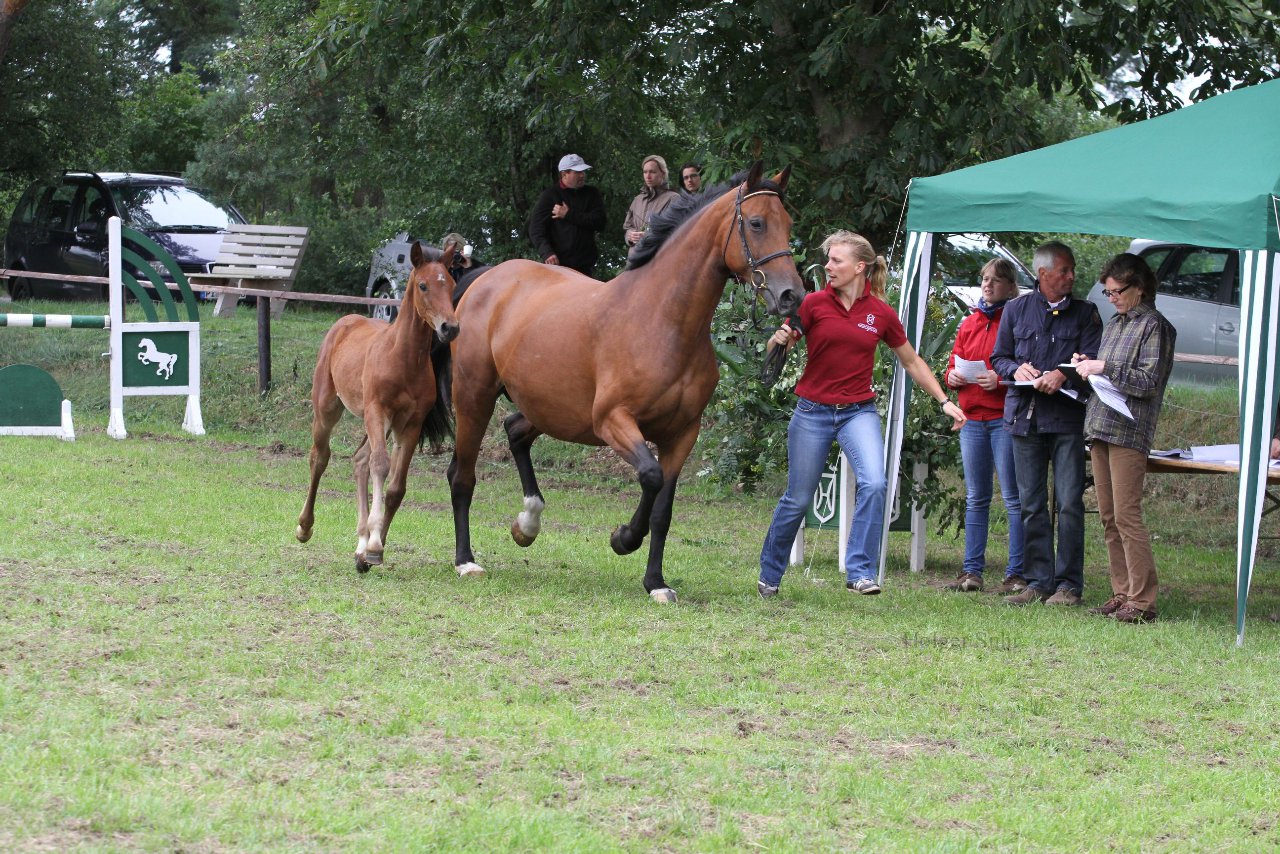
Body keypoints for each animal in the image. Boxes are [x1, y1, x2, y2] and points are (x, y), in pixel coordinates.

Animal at [294, 240, 460, 573]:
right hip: (328, 408)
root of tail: (345, 322)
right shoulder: (376, 410)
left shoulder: (411, 422)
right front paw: (372, 544)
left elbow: (396, 487)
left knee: (359, 460)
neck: (403, 358)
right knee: (321, 457)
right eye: (423, 285)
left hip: (381, 425)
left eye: (450, 284)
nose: (449, 328)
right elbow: (380, 465)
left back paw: (360, 542)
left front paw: (371, 548)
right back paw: (305, 527)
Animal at [445, 160, 793, 601]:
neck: (662, 320)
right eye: (758, 222)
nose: (791, 295)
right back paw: (466, 560)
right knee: (462, 475)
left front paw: (656, 582)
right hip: (475, 397)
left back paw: (527, 523)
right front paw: (623, 538)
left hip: (550, 408)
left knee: (514, 431)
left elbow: (663, 508)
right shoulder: (613, 421)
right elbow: (650, 476)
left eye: (789, 223)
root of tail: (484, 279)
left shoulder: (683, 433)